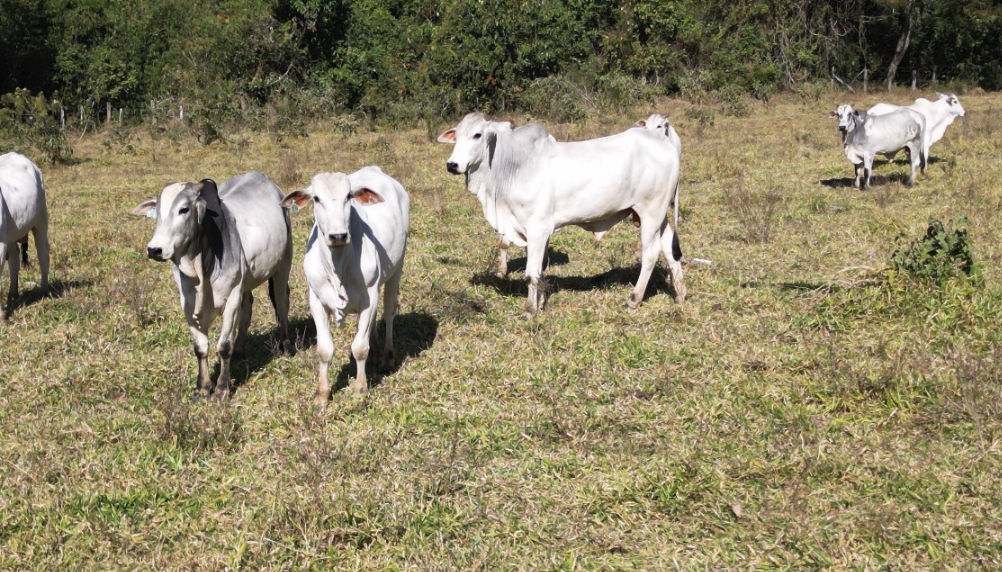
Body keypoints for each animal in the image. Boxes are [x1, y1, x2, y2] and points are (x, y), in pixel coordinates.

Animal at [132, 172, 292, 400]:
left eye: (184, 209)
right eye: (158, 211)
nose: (155, 249)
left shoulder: (231, 298)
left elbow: (224, 346)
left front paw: (222, 388)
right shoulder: (188, 304)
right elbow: (200, 347)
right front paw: (203, 387)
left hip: (283, 263)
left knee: (281, 301)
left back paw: (286, 345)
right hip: (246, 282)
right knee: (247, 308)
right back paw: (240, 350)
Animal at [278, 168, 406, 404]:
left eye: (348, 196)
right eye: (316, 198)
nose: (338, 235)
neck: (338, 264)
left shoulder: (369, 298)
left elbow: (359, 348)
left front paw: (360, 389)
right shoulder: (316, 301)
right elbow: (325, 350)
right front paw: (322, 394)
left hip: (397, 268)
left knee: (389, 312)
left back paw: (387, 356)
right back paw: (376, 352)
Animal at [436, 111, 681, 318]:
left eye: (477, 134)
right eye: (457, 135)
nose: (452, 164)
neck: (515, 166)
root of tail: (667, 146)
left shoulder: (537, 228)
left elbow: (532, 272)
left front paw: (530, 311)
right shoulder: (540, 231)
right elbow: (542, 269)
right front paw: (541, 302)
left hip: (650, 212)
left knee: (651, 253)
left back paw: (634, 299)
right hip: (660, 215)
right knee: (669, 247)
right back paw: (680, 293)